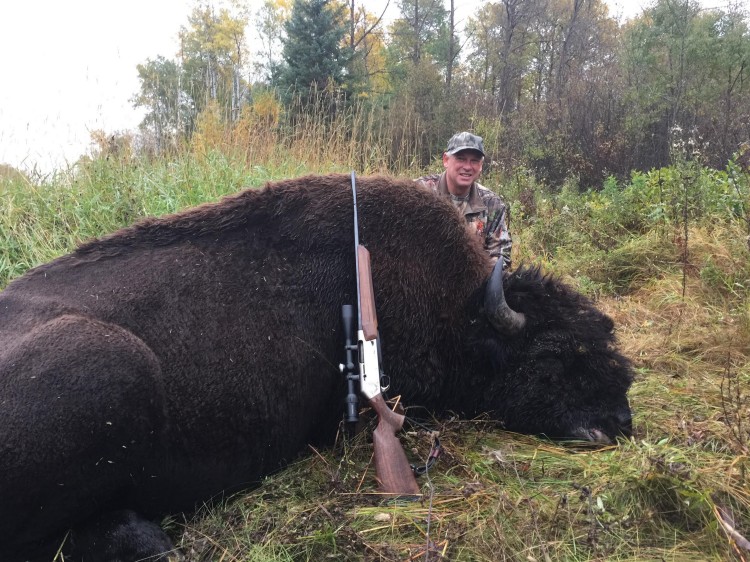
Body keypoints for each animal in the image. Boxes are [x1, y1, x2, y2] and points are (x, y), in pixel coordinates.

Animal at [0, 174, 633, 561]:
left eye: (605, 337)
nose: (619, 423)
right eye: (554, 356)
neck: (466, 312)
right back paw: (149, 539)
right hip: (112, 359)